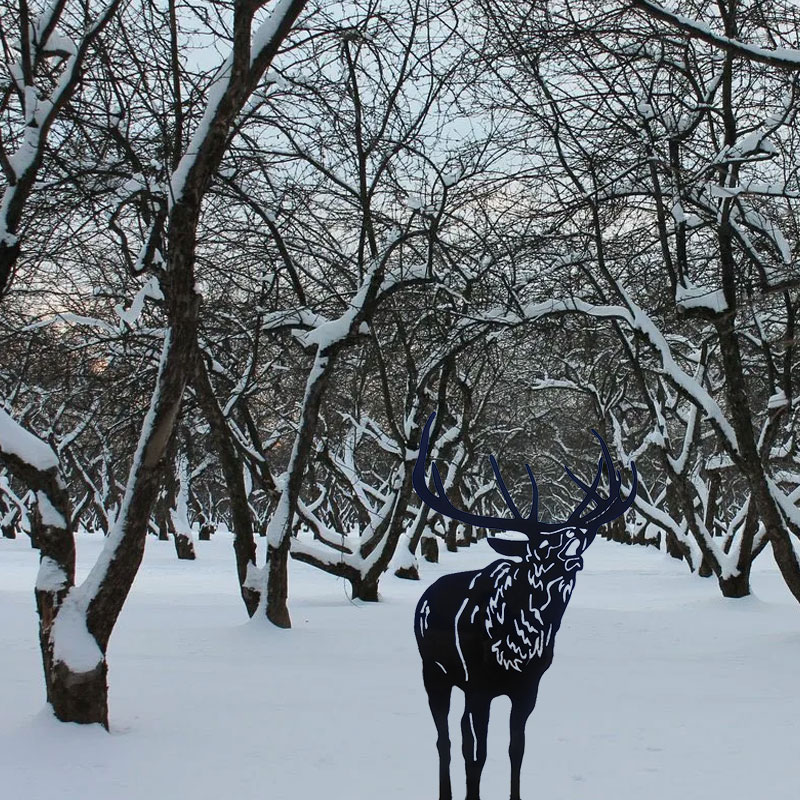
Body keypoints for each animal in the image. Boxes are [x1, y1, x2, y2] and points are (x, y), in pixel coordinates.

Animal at [412, 413, 637, 800]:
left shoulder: (528, 688)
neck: (516, 649)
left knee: (460, 734)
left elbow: (516, 749)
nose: (573, 556)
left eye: (576, 541)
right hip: (434, 671)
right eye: (539, 550)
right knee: (445, 738)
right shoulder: (480, 686)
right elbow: (480, 753)